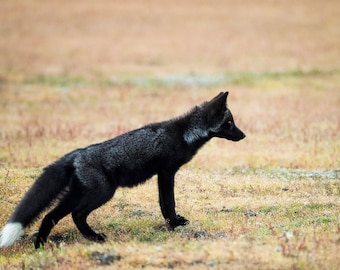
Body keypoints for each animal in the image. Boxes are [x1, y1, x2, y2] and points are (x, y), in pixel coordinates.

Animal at [0, 92, 244, 248]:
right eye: (230, 123)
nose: (244, 136)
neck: (185, 133)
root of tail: (77, 154)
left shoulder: (162, 175)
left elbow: (163, 203)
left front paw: (171, 223)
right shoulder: (167, 172)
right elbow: (168, 202)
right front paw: (174, 224)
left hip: (76, 194)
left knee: (49, 216)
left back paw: (40, 246)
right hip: (103, 193)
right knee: (76, 214)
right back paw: (95, 238)